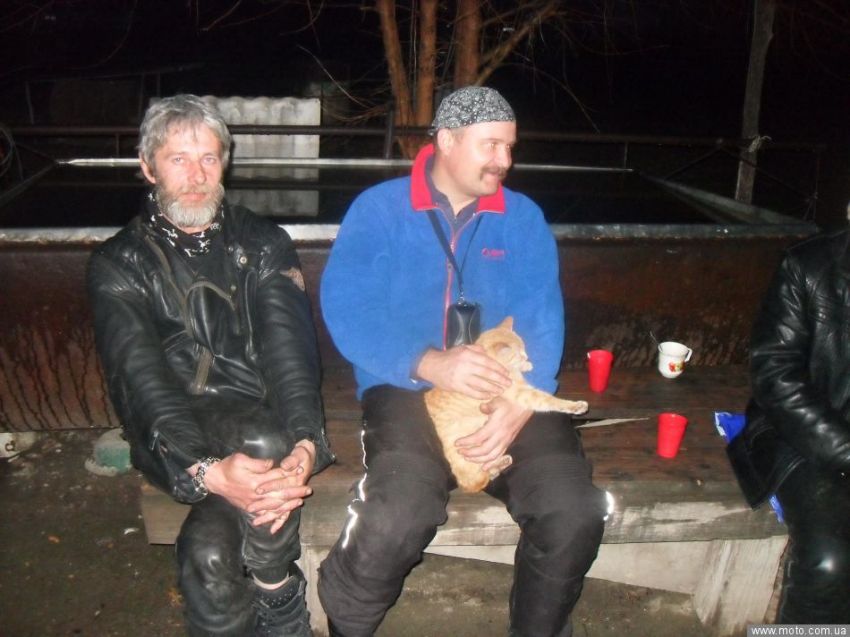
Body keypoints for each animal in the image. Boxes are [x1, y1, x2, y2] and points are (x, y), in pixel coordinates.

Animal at [424, 317, 589, 493]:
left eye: (524, 348)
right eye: (518, 353)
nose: (526, 356)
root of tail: (464, 485)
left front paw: (526, 365)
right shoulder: (523, 393)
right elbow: (548, 400)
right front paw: (575, 406)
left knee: (488, 473)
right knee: (482, 476)